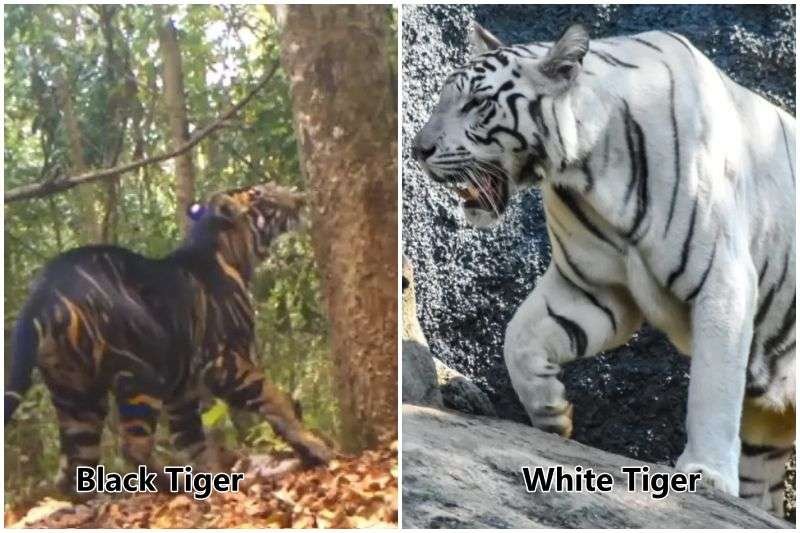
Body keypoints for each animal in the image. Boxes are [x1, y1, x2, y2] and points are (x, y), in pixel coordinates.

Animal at [3, 182, 332, 490]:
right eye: (260, 194)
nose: (300, 198)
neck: (232, 253)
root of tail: (42, 293)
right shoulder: (223, 361)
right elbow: (273, 397)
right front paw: (316, 447)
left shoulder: (182, 391)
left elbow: (192, 441)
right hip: (139, 377)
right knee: (132, 447)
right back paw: (172, 485)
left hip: (75, 395)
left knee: (74, 466)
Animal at [416, 21, 796, 516]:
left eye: (477, 103)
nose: (418, 149)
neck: (589, 167)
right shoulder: (592, 287)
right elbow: (518, 336)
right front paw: (552, 413)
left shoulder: (724, 279)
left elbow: (713, 384)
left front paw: (707, 473)